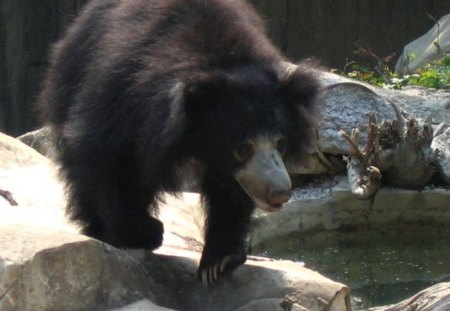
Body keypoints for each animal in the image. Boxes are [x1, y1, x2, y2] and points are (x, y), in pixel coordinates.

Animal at [37, 0, 320, 286]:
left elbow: (230, 191)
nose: (279, 192)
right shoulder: (119, 96)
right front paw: (143, 232)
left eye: (281, 143)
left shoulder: (228, 166)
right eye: (243, 148)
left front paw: (218, 261)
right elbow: (106, 158)